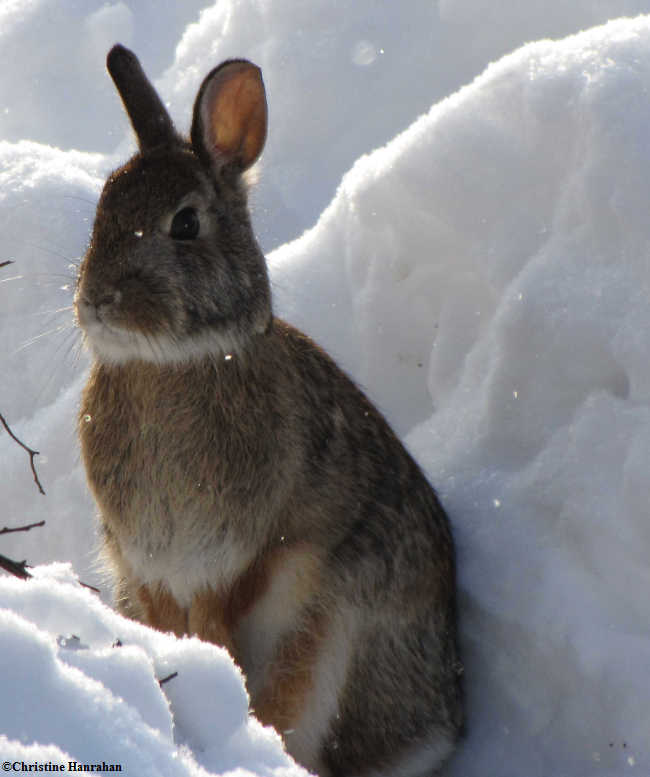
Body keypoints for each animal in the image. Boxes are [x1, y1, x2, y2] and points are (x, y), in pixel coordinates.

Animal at [74, 47, 460, 776]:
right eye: (104, 206)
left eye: (186, 223)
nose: (99, 300)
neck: (172, 364)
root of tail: (442, 733)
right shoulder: (147, 566)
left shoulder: (227, 563)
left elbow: (216, 628)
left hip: (326, 637)